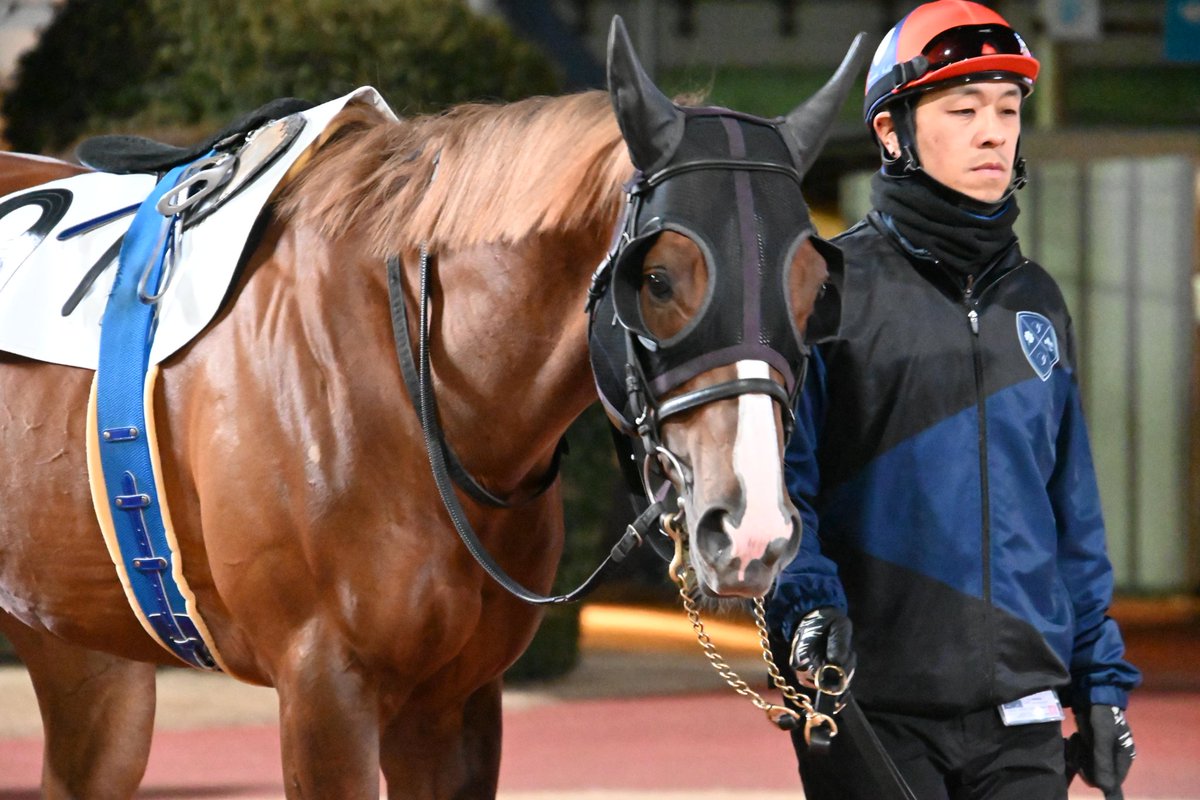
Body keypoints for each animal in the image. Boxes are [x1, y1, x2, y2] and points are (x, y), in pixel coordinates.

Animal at [0, 18, 866, 799]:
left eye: (812, 290)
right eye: (656, 279)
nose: (753, 530)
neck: (412, 387)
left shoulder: (455, 701)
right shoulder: (324, 689)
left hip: (80, 645)